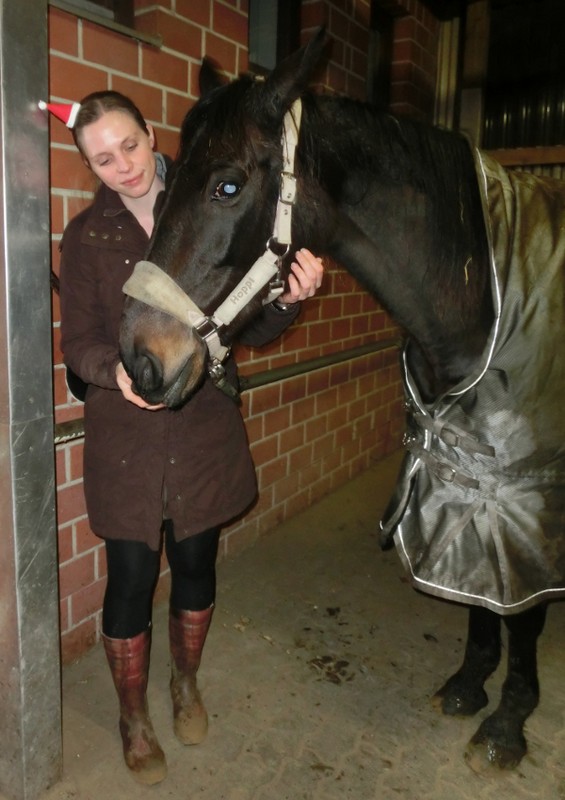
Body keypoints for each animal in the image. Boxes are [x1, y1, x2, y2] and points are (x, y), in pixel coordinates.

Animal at [119, 29, 565, 772]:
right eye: (165, 185)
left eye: (227, 184)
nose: (138, 360)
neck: (479, 286)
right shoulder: (464, 475)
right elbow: (481, 591)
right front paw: (469, 681)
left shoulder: (523, 491)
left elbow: (520, 609)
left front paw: (508, 721)